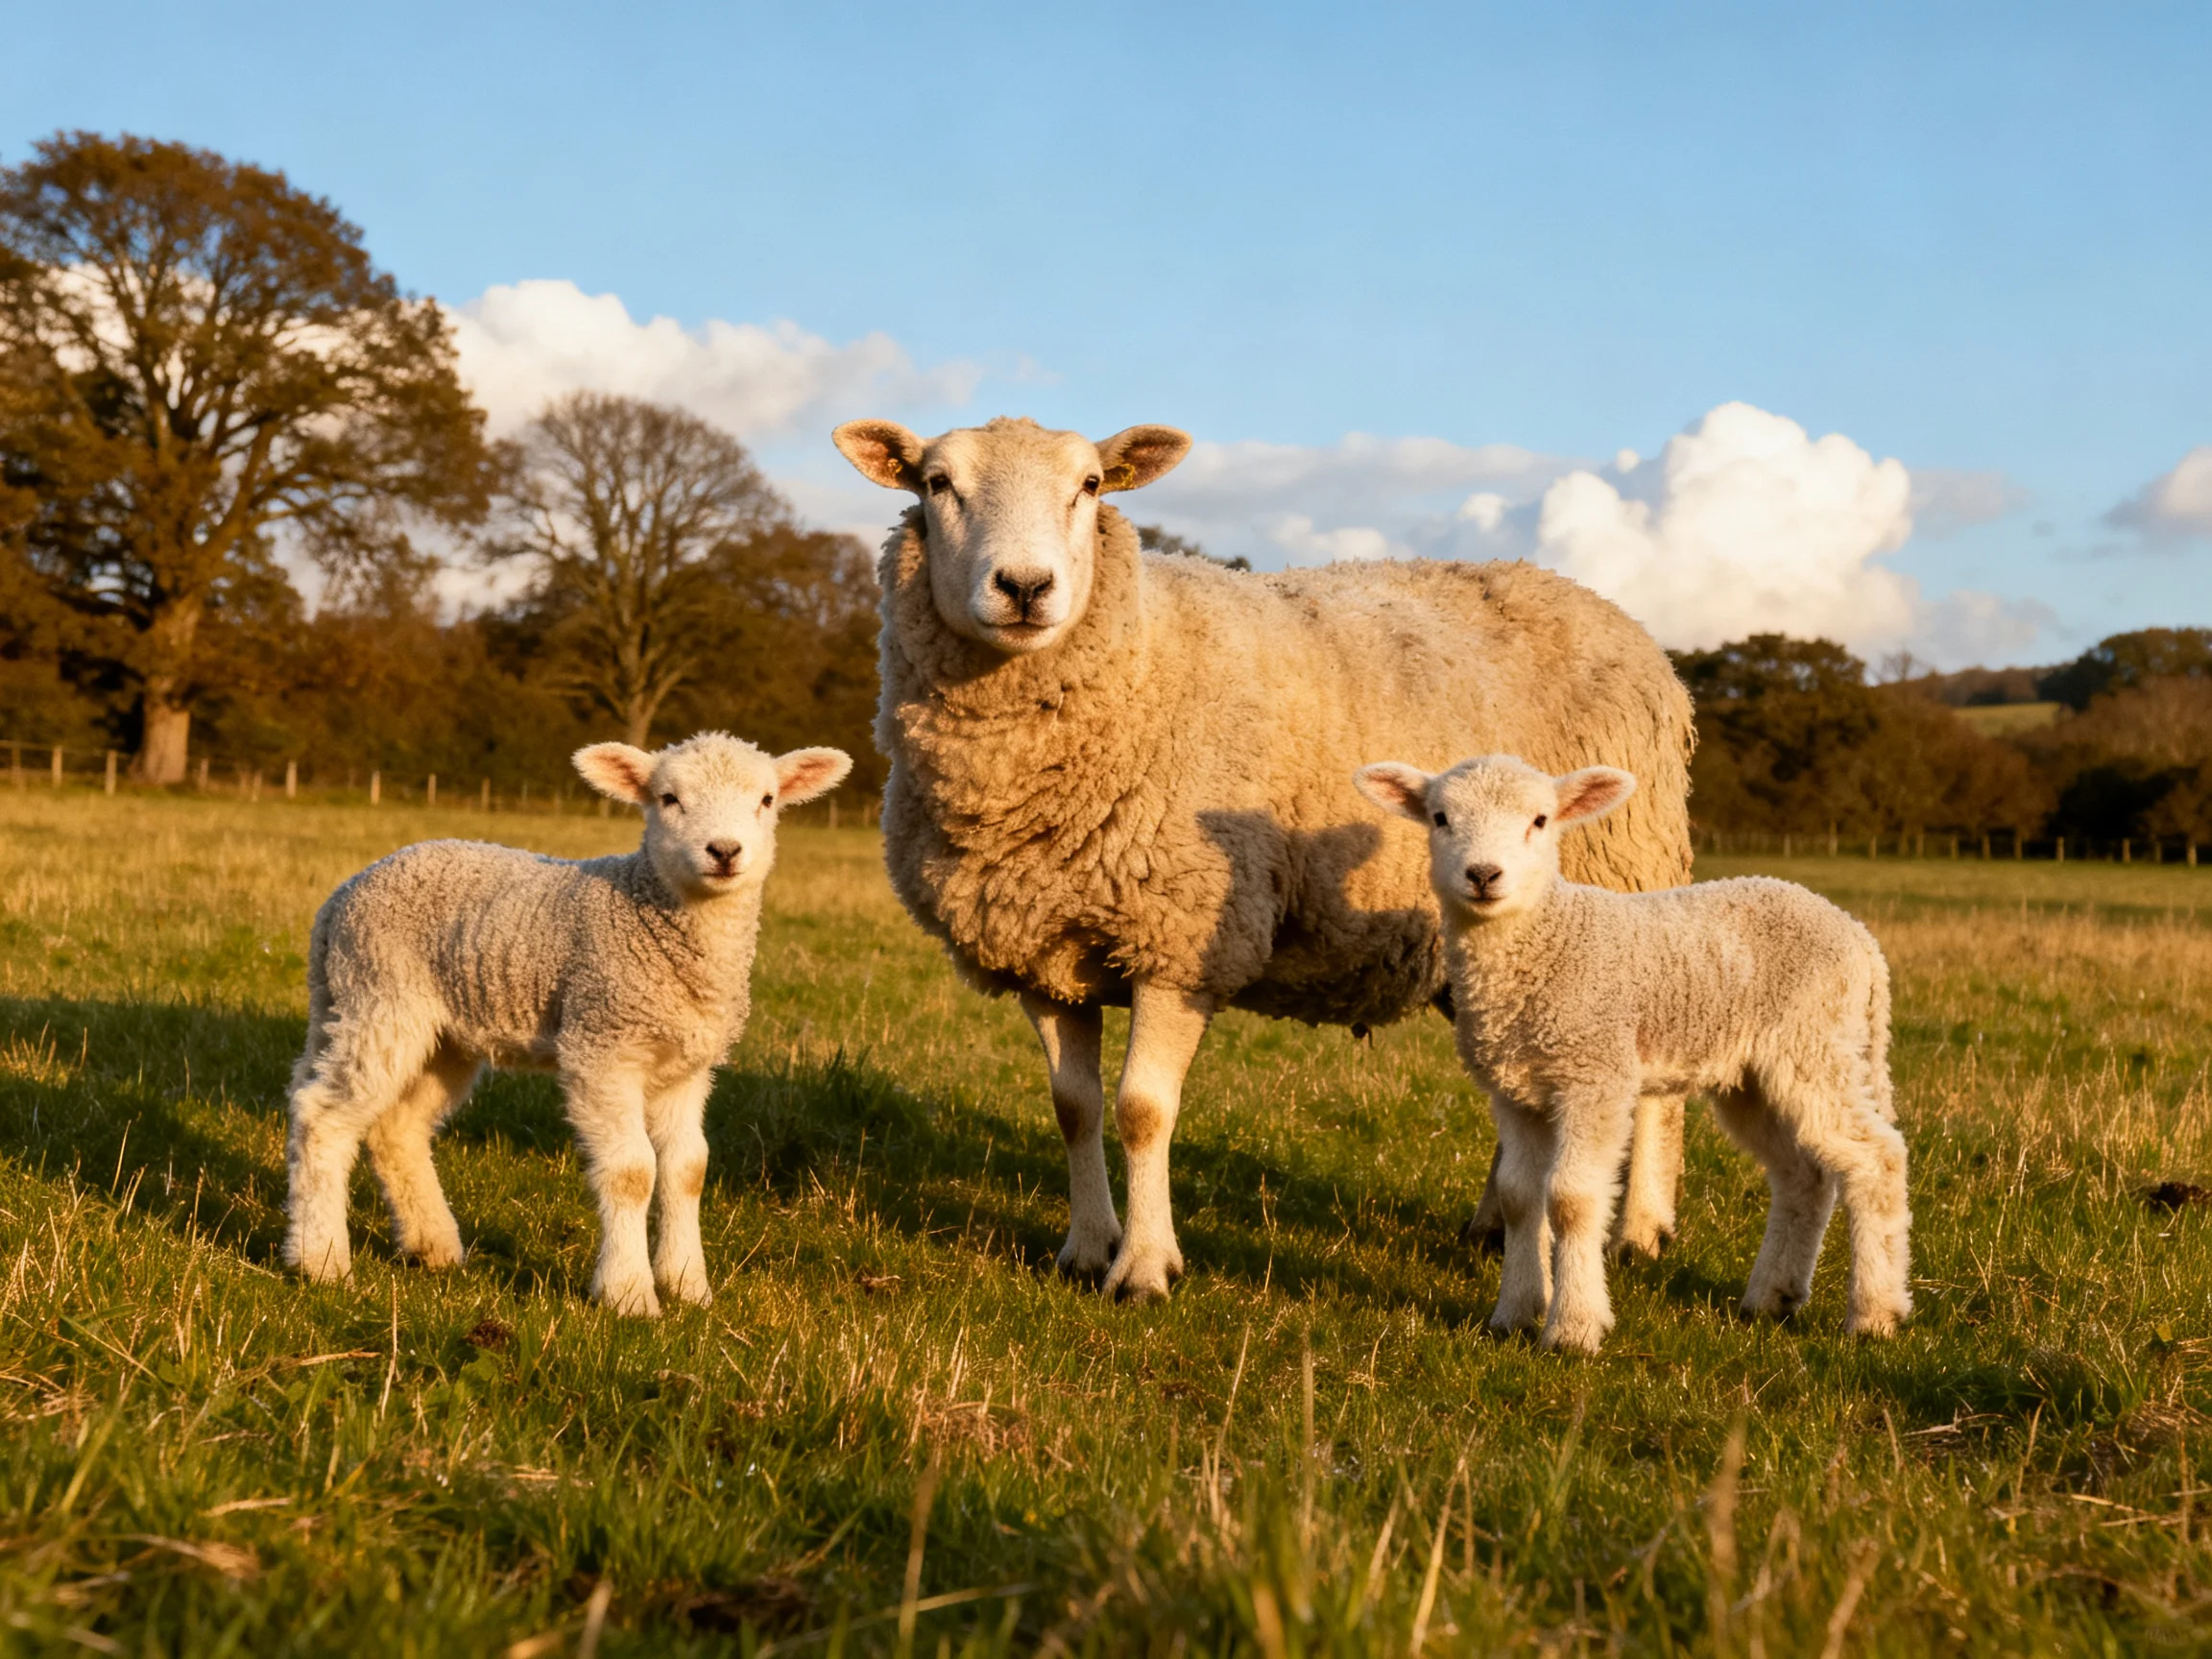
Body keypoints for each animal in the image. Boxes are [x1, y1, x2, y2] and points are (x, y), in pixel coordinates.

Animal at [282, 732, 851, 1316]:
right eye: (668, 798)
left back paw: (432, 1246)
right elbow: (631, 1172)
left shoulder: (686, 1067)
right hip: (380, 998)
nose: (725, 851)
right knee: (322, 1115)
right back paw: (320, 1260)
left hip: (438, 1034)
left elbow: (688, 1169)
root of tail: (341, 898)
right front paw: (629, 1294)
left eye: (767, 800)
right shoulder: (602, 1045)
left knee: (397, 1127)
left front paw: (688, 1286)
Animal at [831, 414, 1698, 1302]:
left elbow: (1142, 1110)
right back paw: (1495, 1226)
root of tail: (1630, 628)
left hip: (1624, 904)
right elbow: (1074, 1108)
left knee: (1654, 1081)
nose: (1026, 587)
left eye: (1090, 485)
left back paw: (1642, 1231)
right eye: (937, 484)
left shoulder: (1184, 937)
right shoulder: (1043, 948)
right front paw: (1085, 1247)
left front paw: (1145, 1266)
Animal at [1353, 753, 1910, 1354]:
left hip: (1816, 1043)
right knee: (1802, 1175)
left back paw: (1875, 1314)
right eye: (1440, 818)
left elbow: (1571, 1199)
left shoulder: (1594, 1074)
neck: (1543, 945)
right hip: (1754, 1075)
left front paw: (1573, 1329)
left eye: (1540, 820)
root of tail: (1859, 937)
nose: (1482, 875)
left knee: (1876, 1159)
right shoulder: (1516, 1090)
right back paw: (1770, 1299)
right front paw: (1515, 1314)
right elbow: (1520, 1196)